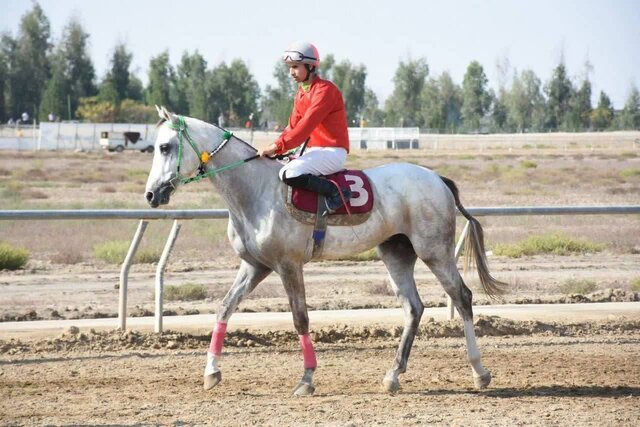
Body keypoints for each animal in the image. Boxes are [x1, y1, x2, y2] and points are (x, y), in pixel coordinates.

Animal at [144, 108, 504, 398]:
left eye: (165, 147)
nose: (151, 195)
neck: (255, 190)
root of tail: (437, 177)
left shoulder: (288, 265)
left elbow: (300, 319)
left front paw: (306, 379)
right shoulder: (255, 266)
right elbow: (224, 308)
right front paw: (211, 371)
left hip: (435, 251)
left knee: (462, 296)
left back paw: (479, 371)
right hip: (396, 253)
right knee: (414, 307)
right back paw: (393, 375)